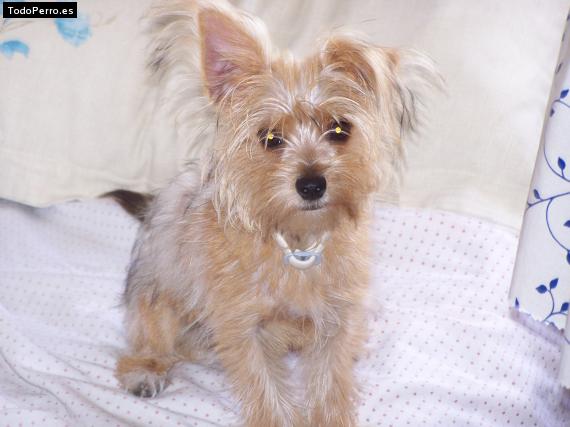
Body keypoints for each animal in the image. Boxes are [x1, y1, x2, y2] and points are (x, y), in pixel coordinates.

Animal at [113, 1, 438, 425]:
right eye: (269, 138)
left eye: (339, 129)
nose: (312, 185)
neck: (298, 242)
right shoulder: (244, 329)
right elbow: (267, 391)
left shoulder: (338, 321)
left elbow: (331, 385)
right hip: (156, 295)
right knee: (151, 336)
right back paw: (146, 368)